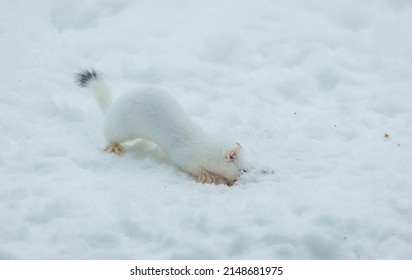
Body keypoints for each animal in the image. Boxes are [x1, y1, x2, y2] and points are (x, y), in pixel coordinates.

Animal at [74, 68, 248, 185]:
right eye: (243, 170)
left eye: (248, 167)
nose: (242, 180)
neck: (200, 142)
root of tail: (112, 107)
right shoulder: (183, 156)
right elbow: (189, 165)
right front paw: (207, 176)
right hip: (119, 127)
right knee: (109, 135)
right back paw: (114, 147)